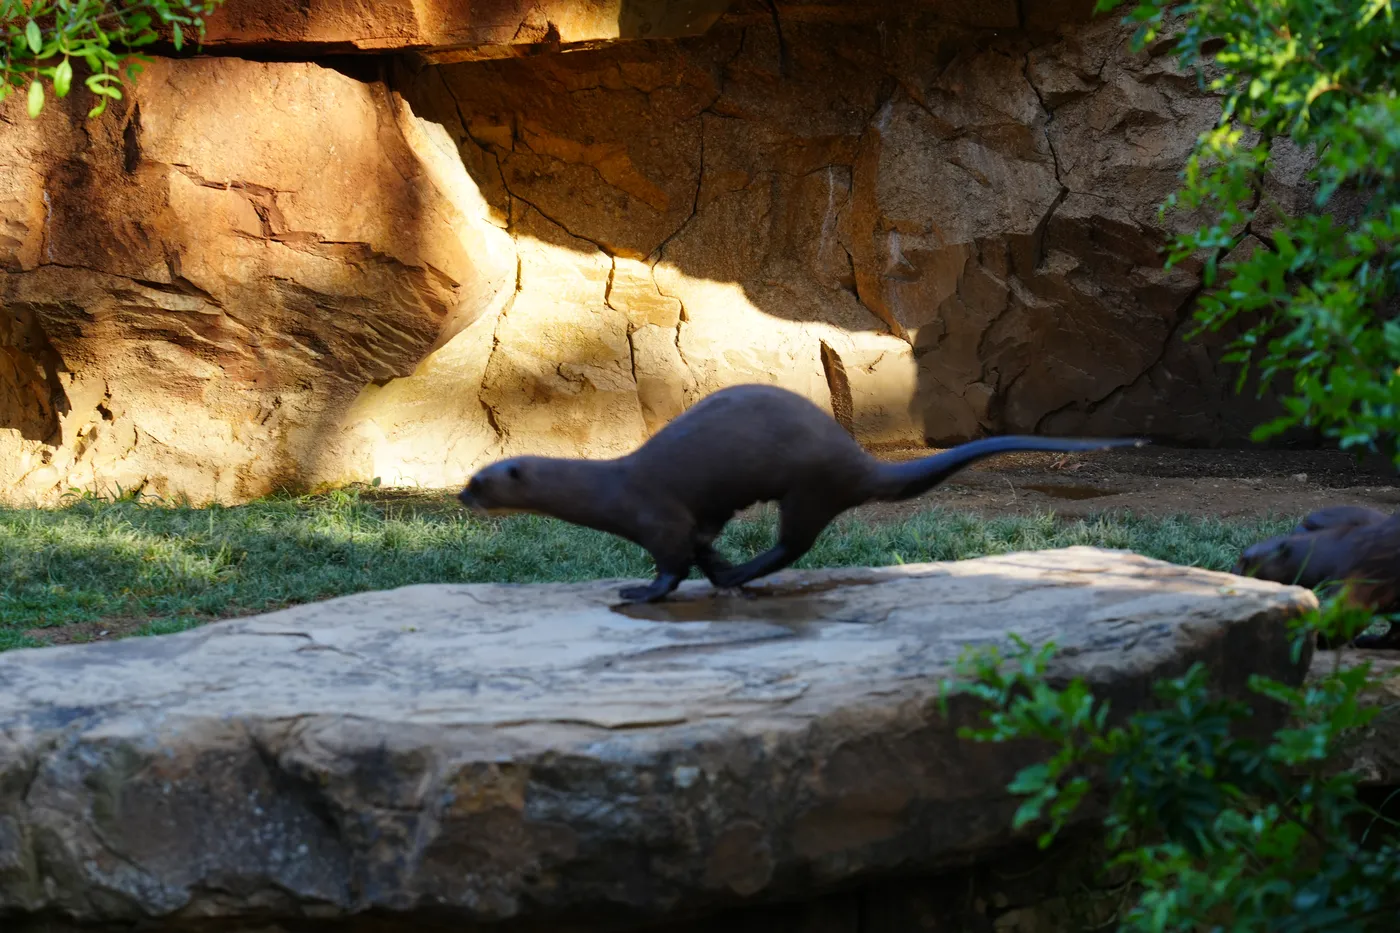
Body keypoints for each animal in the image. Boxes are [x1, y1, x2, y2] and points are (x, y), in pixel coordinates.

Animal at [458, 384, 1148, 603]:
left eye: (477, 480)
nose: (463, 497)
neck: (608, 485)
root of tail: (857, 459)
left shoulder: (657, 518)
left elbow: (670, 563)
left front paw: (641, 592)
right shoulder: (695, 520)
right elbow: (702, 543)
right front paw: (717, 568)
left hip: (806, 486)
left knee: (794, 544)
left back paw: (743, 577)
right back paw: (735, 577)